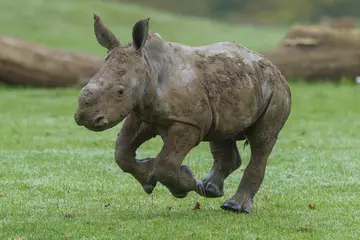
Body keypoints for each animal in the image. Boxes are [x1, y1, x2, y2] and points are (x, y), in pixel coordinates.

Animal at [74, 14, 292, 214]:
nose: (84, 117)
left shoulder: (188, 123)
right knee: (221, 132)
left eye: (120, 92)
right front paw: (149, 179)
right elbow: (122, 152)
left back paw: (233, 206)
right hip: (235, 88)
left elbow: (166, 163)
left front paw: (182, 185)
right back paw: (208, 189)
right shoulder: (142, 113)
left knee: (261, 141)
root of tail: (273, 66)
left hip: (275, 90)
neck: (149, 65)